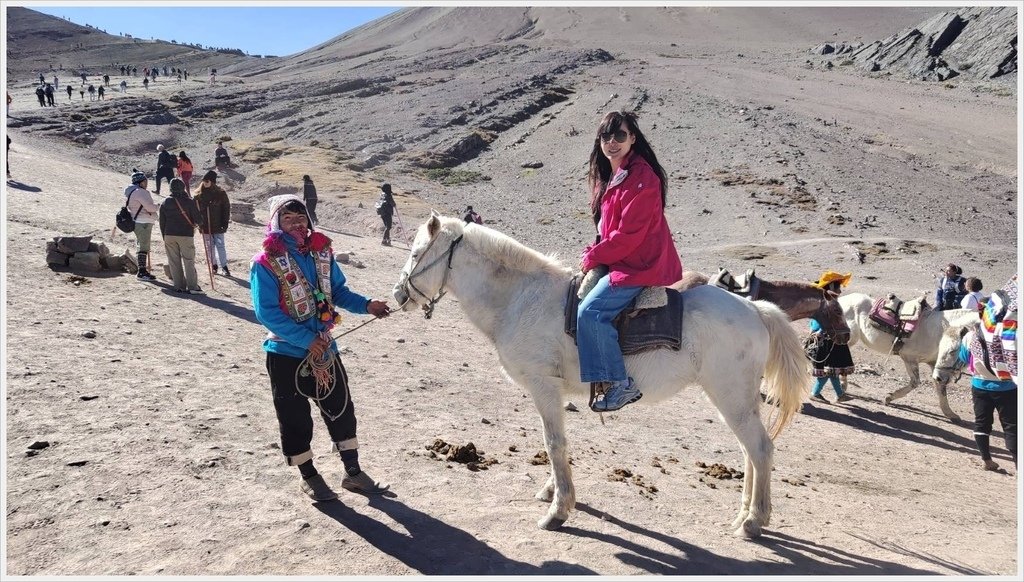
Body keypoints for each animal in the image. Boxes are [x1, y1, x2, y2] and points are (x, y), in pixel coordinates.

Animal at [389, 216, 806, 536]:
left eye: (416, 253)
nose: (397, 295)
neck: (521, 298)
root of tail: (756, 310)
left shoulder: (543, 387)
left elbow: (554, 443)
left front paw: (558, 511)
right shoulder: (556, 392)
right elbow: (557, 444)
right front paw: (552, 491)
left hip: (731, 395)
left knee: (760, 448)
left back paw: (753, 522)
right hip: (734, 399)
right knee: (750, 451)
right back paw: (745, 513)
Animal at [835, 293, 978, 420]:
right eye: (952, 350)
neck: (936, 331)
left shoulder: (936, 366)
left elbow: (941, 388)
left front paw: (950, 414)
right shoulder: (910, 358)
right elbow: (915, 382)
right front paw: (889, 397)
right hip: (849, 339)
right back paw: (841, 388)